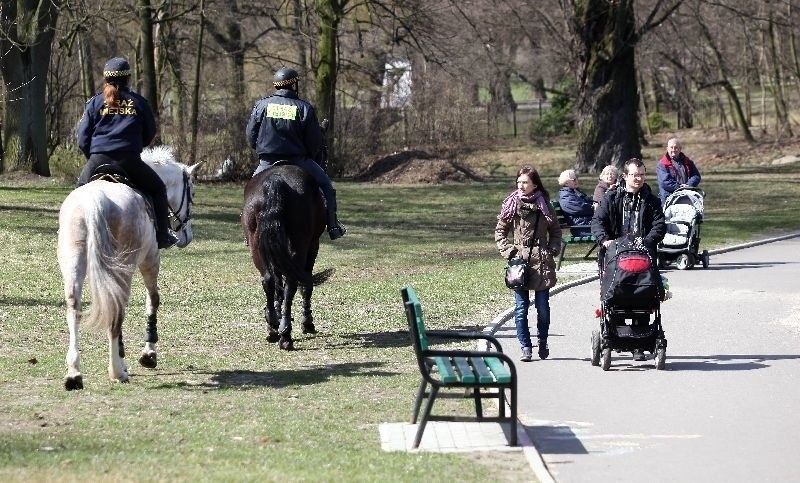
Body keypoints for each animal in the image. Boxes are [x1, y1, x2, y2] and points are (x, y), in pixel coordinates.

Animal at [57, 147, 203, 390]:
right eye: (192, 193)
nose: (187, 237)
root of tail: (95, 200)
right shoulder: (151, 260)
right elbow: (153, 300)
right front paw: (148, 354)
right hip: (124, 267)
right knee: (117, 311)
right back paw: (117, 371)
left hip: (74, 264)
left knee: (74, 308)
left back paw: (74, 373)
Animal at [242, 164, 332, 350]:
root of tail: (276, 180)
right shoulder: (313, 245)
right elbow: (306, 285)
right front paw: (307, 322)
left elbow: (278, 285)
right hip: (300, 244)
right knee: (292, 283)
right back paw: (285, 335)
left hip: (257, 245)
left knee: (268, 280)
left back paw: (273, 327)